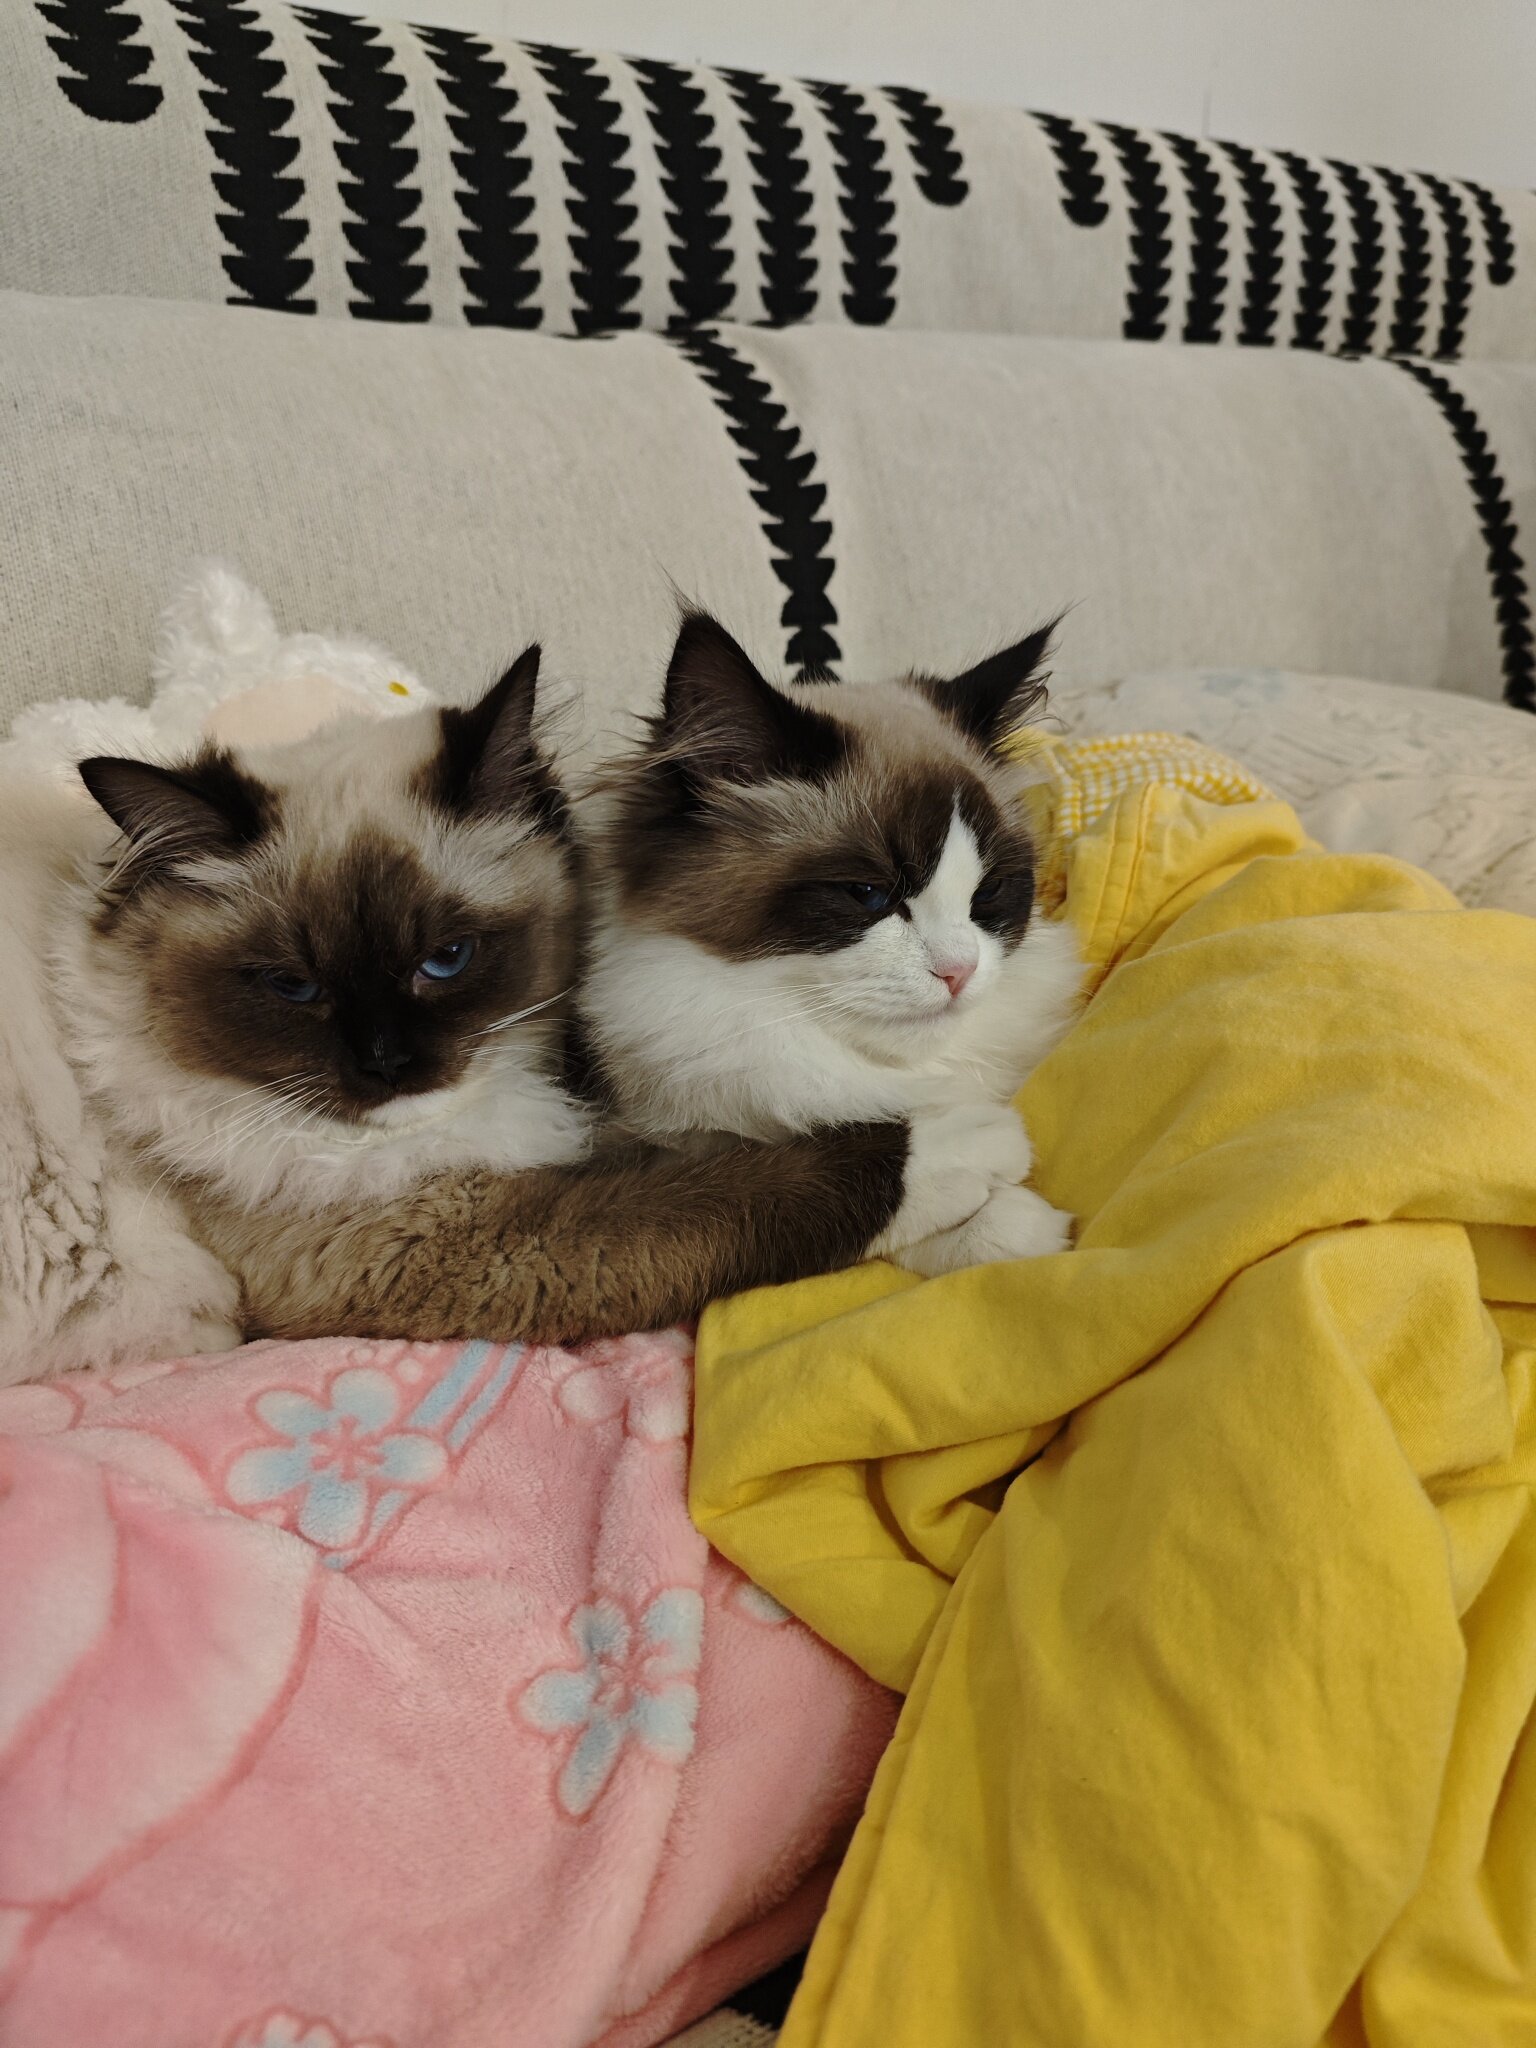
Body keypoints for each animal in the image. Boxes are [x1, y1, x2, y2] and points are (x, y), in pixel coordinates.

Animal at [59, 644, 1032, 1350]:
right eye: (294, 987)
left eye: (446, 959)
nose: (387, 1065)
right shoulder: (441, 1244)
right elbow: (750, 1185)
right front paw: (979, 1154)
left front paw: (1006, 1229)